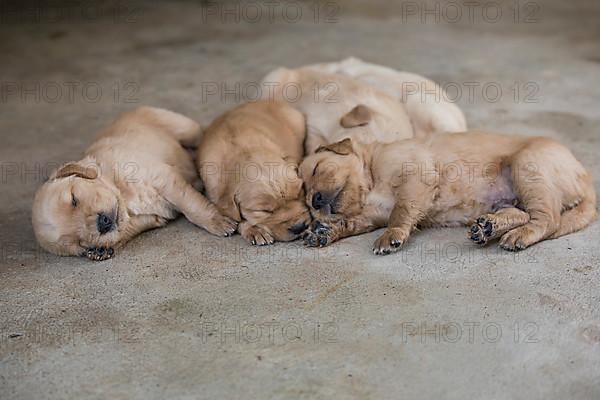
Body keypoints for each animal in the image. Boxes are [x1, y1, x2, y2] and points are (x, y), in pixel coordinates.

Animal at [31, 106, 236, 260]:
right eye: (77, 242)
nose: (102, 225)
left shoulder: (163, 177)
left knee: (201, 133)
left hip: (184, 128)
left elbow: (192, 206)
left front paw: (217, 221)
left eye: (74, 199)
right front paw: (100, 250)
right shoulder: (151, 218)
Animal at [197, 101, 312, 244]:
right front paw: (255, 230)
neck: (242, 151)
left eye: (299, 193)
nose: (299, 227)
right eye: (264, 211)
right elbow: (239, 219)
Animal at [300, 133, 596, 255]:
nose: (314, 199)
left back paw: (517, 235)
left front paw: (391, 236)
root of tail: (586, 177)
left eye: (317, 168)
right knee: (523, 213)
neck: (371, 182)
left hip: (527, 166)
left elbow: (401, 212)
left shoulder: (415, 177)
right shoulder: (371, 216)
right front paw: (323, 232)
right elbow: (350, 222)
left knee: (548, 219)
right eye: (307, 203)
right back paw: (489, 227)